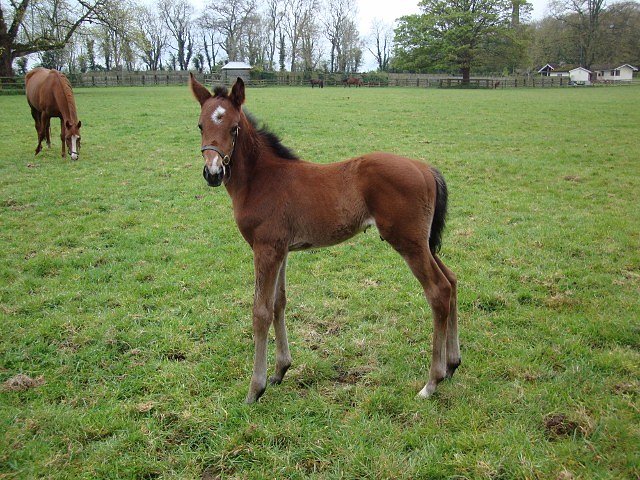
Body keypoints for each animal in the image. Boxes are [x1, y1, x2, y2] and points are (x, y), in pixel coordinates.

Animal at [190, 76, 460, 404]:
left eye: (233, 127)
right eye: (200, 125)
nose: (213, 172)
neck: (261, 180)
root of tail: (425, 168)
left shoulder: (265, 249)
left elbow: (261, 311)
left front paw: (256, 388)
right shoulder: (281, 250)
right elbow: (279, 303)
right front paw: (280, 371)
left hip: (409, 243)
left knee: (438, 290)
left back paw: (431, 382)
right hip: (423, 243)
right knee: (452, 280)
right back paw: (452, 364)